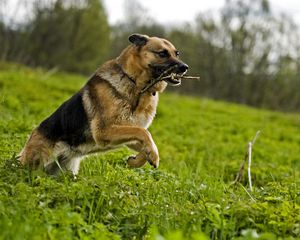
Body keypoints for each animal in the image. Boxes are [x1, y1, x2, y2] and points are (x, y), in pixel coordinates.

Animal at [18, 33, 188, 175]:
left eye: (176, 53)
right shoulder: (105, 131)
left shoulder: (127, 132)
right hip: (36, 162)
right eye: (162, 53)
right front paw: (152, 155)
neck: (136, 85)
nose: (185, 67)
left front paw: (137, 160)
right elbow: (144, 133)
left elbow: (144, 140)